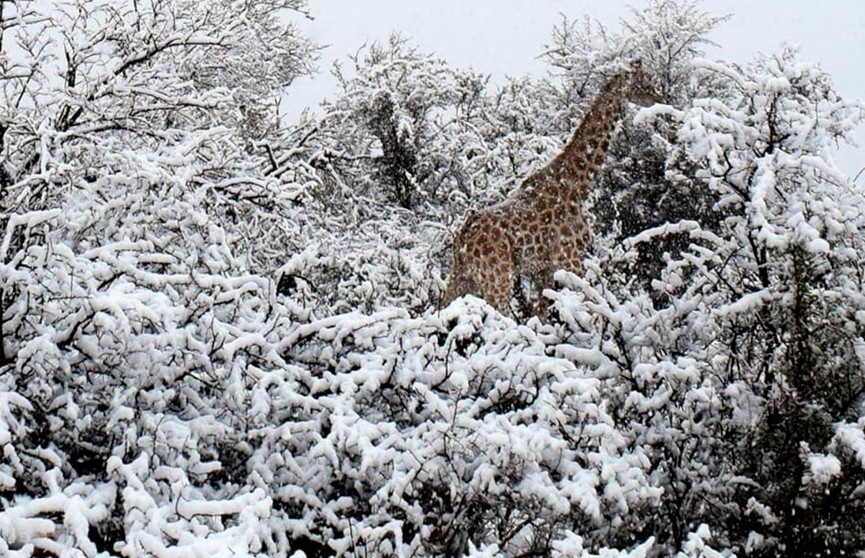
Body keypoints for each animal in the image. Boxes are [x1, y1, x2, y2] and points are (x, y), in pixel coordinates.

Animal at [442, 60, 660, 320]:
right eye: (641, 82)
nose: (657, 97)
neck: (577, 186)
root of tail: (462, 238)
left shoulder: (543, 269)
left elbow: (541, 316)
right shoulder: (569, 257)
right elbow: (590, 308)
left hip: (464, 277)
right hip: (498, 276)